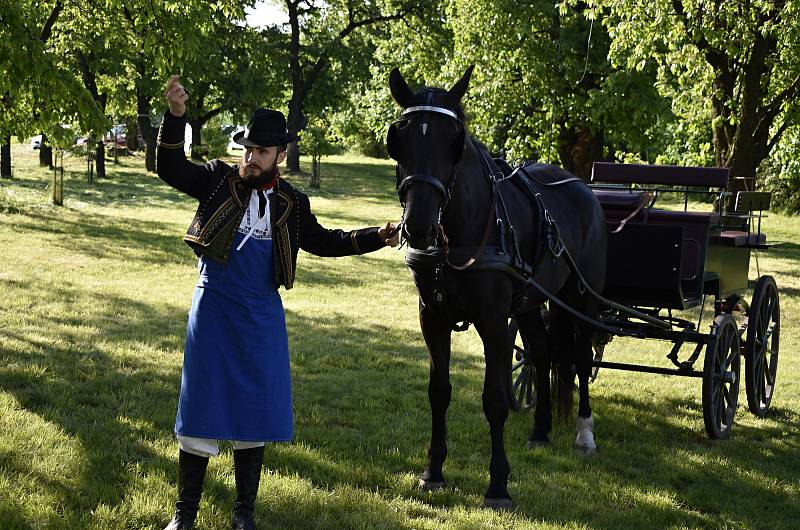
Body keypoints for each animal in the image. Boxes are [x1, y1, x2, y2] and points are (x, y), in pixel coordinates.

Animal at [388, 66, 608, 508]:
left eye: (453, 141)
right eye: (399, 138)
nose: (418, 225)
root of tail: (580, 186)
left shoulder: (492, 320)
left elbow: (495, 399)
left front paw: (498, 484)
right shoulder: (431, 317)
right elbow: (439, 391)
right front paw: (433, 471)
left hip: (580, 299)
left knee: (578, 357)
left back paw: (584, 433)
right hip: (532, 302)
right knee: (542, 352)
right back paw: (541, 430)